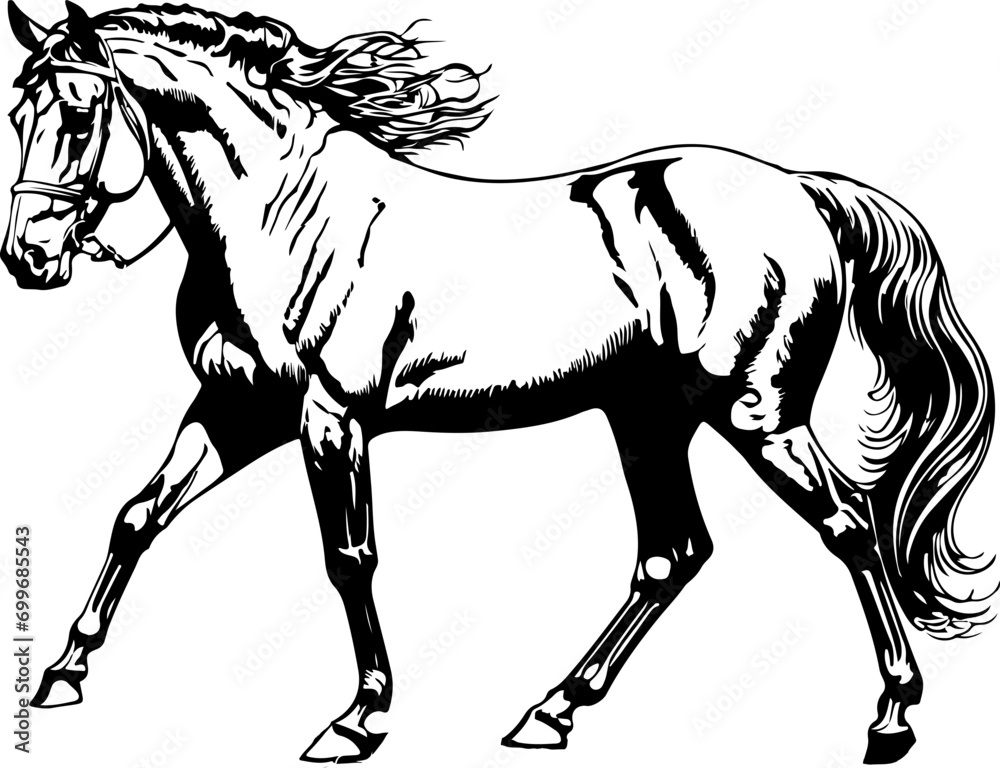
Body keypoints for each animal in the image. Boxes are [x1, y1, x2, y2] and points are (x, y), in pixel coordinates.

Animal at [2, 3, 994, 764]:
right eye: (21, 113)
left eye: (81, 114)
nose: (30, 258)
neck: (281, 217)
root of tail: (801, 187)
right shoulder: (238, 410)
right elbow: (137, 517)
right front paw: (61, 675)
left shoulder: (330, 417)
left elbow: (348, 559)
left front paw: (358, 720)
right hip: (648, 419)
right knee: (673, 554)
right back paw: (551, 711)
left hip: (756, 411)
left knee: (849, 528)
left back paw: (892, 718)